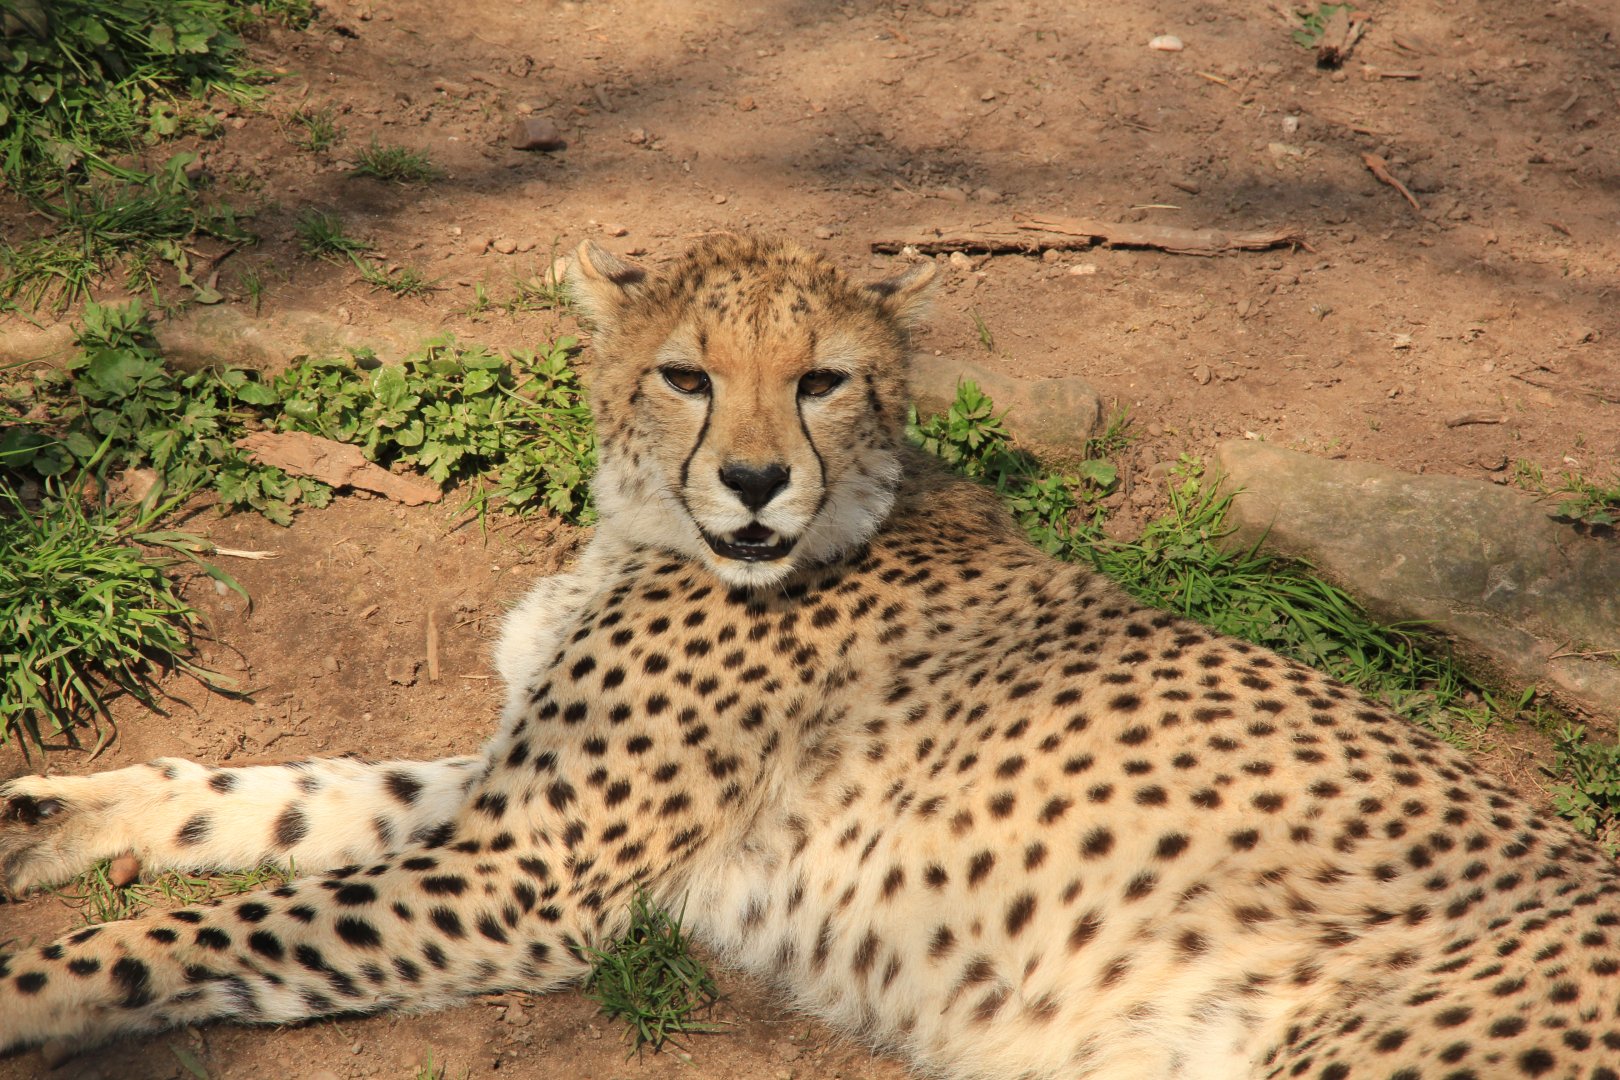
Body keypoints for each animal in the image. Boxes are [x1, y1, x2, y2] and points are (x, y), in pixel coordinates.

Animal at [3, 233, 1619, 1079]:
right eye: (686, 373)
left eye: (824, 379)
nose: (758, 482)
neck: (655, 535)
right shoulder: (507, 810)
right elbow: (279, 796)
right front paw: (47, 817)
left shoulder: (529, 878)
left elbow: (201, 932)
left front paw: (32, 987)